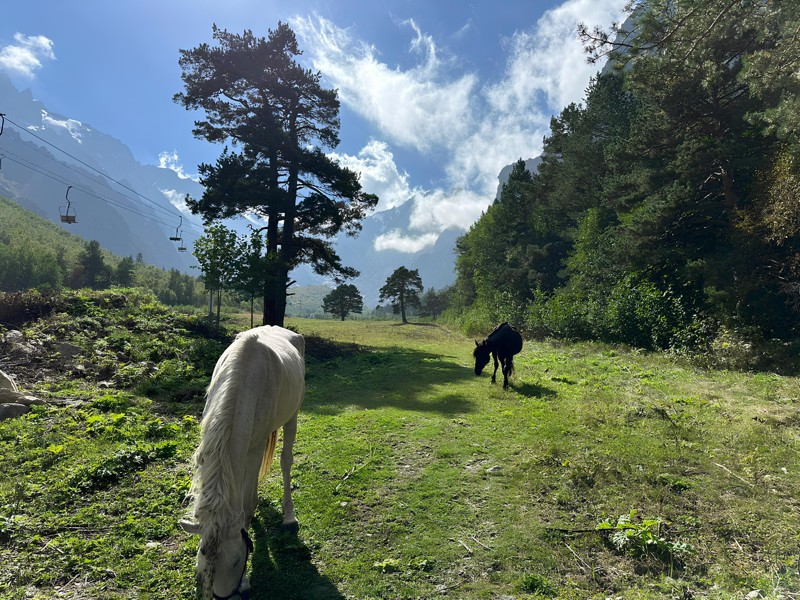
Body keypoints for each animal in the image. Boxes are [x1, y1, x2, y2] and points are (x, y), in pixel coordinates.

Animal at [181, 326, 306, 600]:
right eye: (201, 560)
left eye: (238, 561)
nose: (228, 596)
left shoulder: (256, 446)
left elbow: (246, 503)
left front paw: (246, 580)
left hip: (292, 415)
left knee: (286, 461)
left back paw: (289, 516)